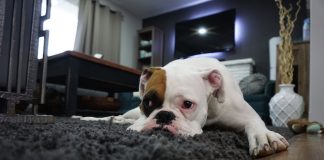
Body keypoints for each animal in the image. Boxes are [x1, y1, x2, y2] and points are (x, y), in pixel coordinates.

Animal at [76, 57, 288, 158]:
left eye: (187, 104)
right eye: (148, 102)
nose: (164, 115)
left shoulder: (247, 115)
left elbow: (256, 124)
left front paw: (265, 136)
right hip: (133, 112)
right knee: (121, 117)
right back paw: (91, 118)